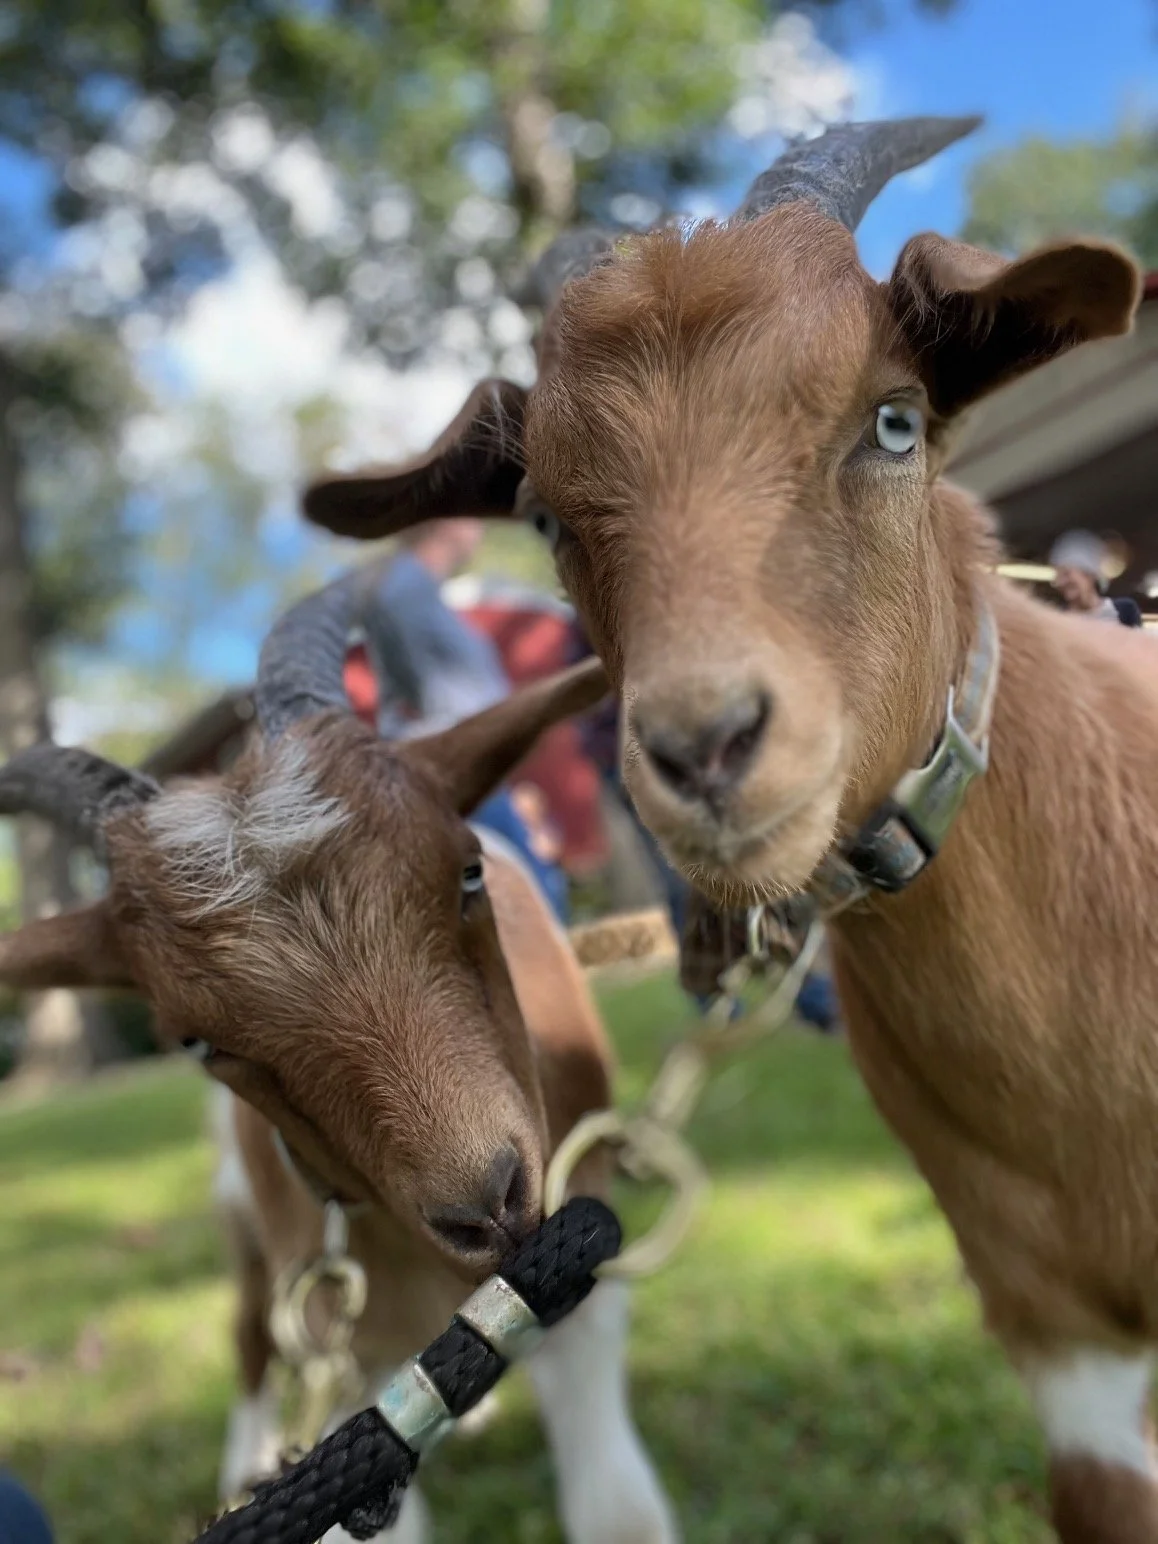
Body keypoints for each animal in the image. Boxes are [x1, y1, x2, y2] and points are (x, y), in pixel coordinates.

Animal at [0, 570, 676, 1544]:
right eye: (197, 1040)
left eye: (470, 872)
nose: (493, 1206)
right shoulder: (343, 1337)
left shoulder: (578, 1250)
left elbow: (618, 1510)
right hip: (239, 1211)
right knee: (248, 1327)